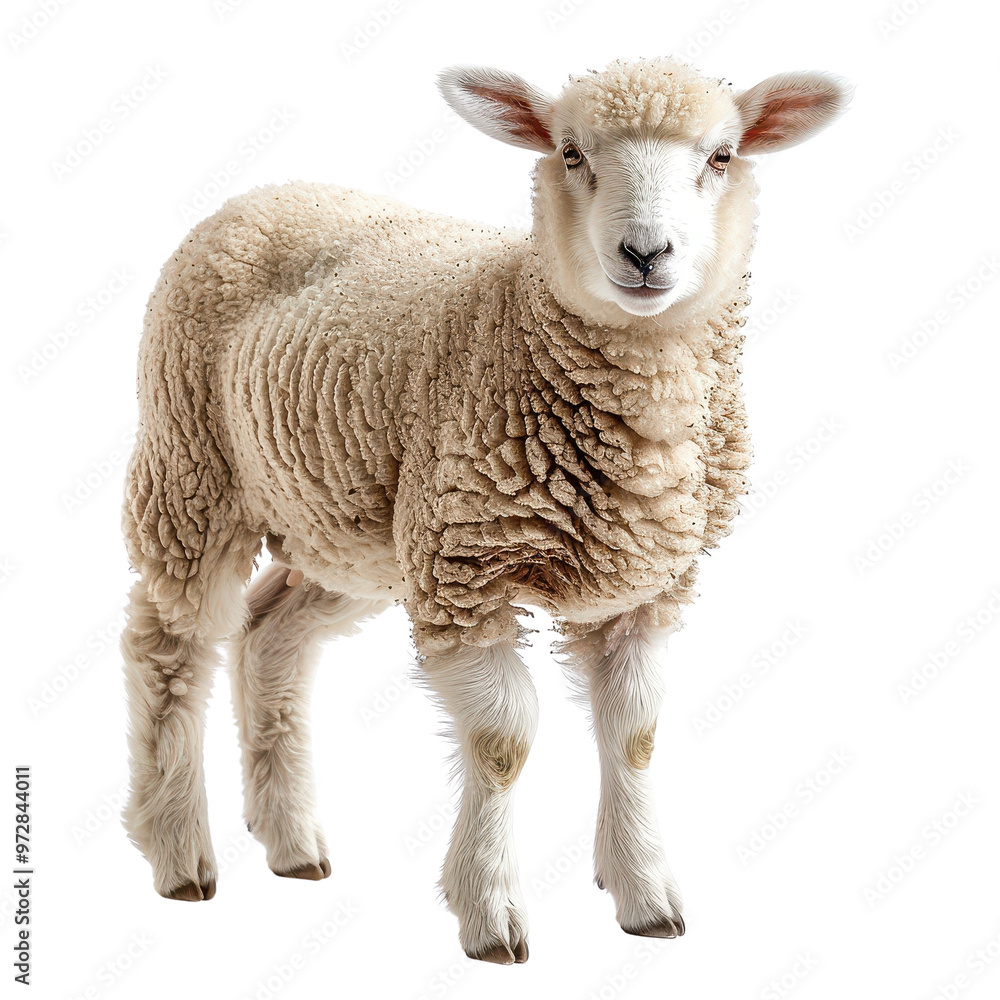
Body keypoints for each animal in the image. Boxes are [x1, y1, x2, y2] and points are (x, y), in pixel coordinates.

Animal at [120, 55, 851, 963]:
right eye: (571, 152)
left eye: (722, 156)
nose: (646, 254)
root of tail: (266, 192)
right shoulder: (464, 569)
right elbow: (504, 742)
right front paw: (491, 910)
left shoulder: (646, 583)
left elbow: (636, 734)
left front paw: (644, 894)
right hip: (193, 466)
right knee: (168, 646)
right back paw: (178, 848)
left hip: (353, 526)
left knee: (269, 633)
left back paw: (290, 839)